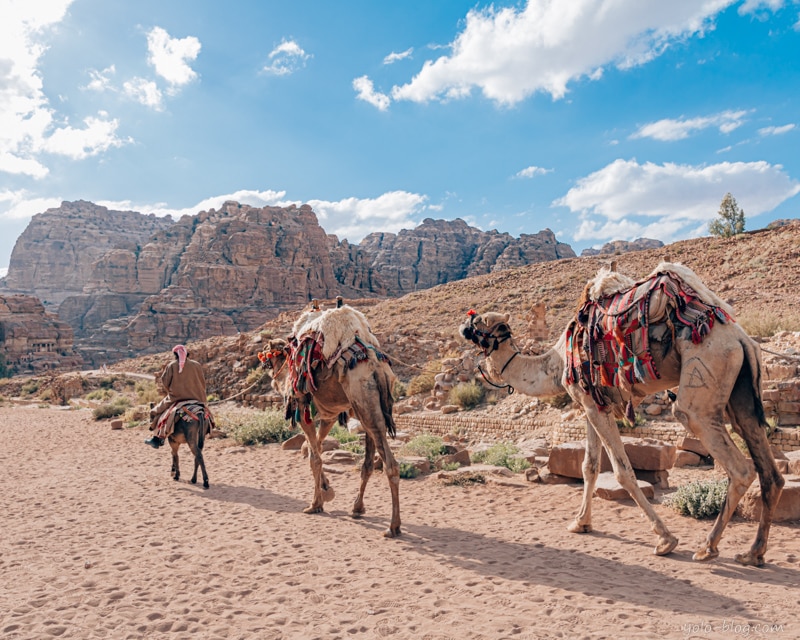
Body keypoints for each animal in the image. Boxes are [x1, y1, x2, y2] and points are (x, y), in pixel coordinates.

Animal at [260, 302, 400, 536]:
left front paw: (316, 503)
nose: (264, 367)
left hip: (363, 400)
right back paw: (358, 508)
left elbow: (314, 456)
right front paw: (327, 489)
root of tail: (376, 367)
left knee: (390, 463)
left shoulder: (302, 407)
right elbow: (315, 447)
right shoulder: (330, 415)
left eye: (268, 357)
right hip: (371, 406)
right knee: (369, 462)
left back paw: (393, 526)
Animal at [460, 260, 784, 564]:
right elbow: (589, 466)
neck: (554, 364)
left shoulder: (591, 403)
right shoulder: (590, 403)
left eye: (482, 321)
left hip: (704, 379)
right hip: (740, 391)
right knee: (767, 466)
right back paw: (753, 553)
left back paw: (707, 547)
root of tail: (741, 338)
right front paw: (580, 523)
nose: (466, 324)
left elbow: (621, 471)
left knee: (736, 464)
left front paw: (665, 540)